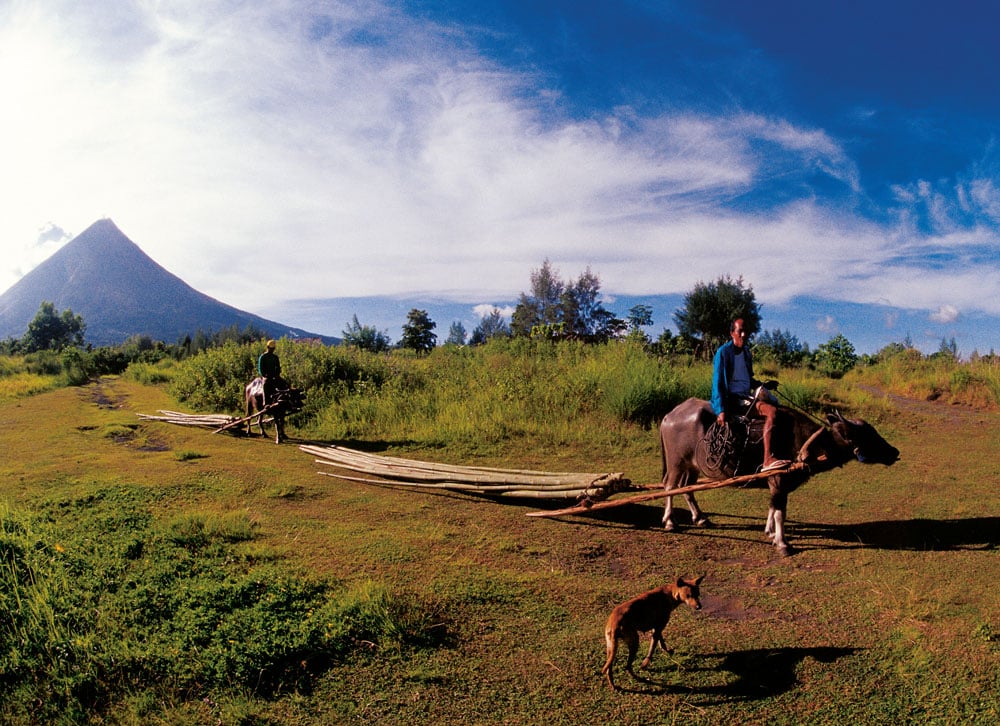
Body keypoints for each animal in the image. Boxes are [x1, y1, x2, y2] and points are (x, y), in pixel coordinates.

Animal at [660, 400, 896, 556]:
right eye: (867, 435)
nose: (895, 452)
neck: (805, 441)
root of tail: (670, 415)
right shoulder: (779, 483)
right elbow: (780, 512)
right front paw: (782, 543)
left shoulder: (776, 485)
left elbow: (773, 509)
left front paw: (770, 533)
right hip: (676, 464)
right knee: (670, 487)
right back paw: (670, 521)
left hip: (692, 466)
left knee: (687, 489)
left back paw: (700, 517)